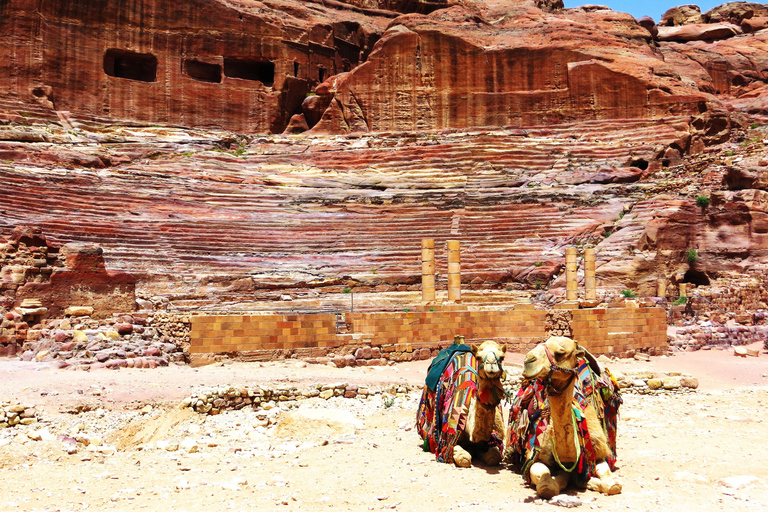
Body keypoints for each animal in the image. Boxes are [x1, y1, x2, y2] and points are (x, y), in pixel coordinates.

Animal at [416, 340, 508, 468]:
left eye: (502, 357)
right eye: (478, 357)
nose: (491, 365)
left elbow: (494, 457)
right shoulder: (449, 437)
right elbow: (464, 457)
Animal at [510, 336, 624, 500]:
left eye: (560, 353)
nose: (528, 360)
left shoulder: (598, 452)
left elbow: (613, 484)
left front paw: (586, 481)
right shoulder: (535, 456)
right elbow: (547, 486)